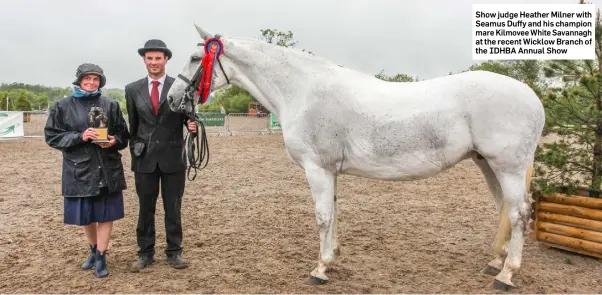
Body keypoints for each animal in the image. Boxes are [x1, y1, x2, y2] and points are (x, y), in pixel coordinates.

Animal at [165, 23, 544, 292]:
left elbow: (322, 217)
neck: (302, 90)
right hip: (487, 164)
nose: (172, 99)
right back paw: (497, 263)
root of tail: (532, 97)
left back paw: (506, 275)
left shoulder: (317, 169)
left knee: (520, 213)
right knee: (506, 210)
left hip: (507, 167)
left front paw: (319, 270)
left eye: (197, 59)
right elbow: (333, 215)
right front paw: (331, 260)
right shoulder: (329, 172)